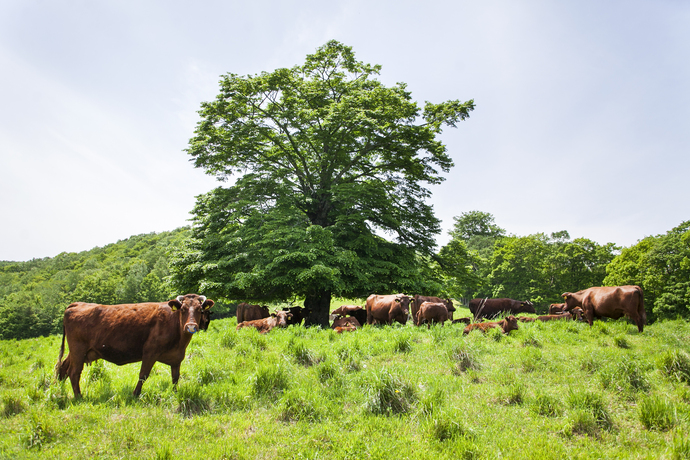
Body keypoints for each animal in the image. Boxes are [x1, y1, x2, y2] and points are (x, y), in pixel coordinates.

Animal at [55, 294, 212, 398]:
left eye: (200, 310)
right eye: (183, 309)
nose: (191, 326)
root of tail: (77, 304)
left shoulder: (176, 358)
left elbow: (175, 377)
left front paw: (174, 394)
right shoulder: (150, 352)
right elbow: (143, 375)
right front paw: (135, 394)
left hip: (78, 352)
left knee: (62, 368)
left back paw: (58, 390)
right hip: (78, 349)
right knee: (74, 372)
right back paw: (78, 397)